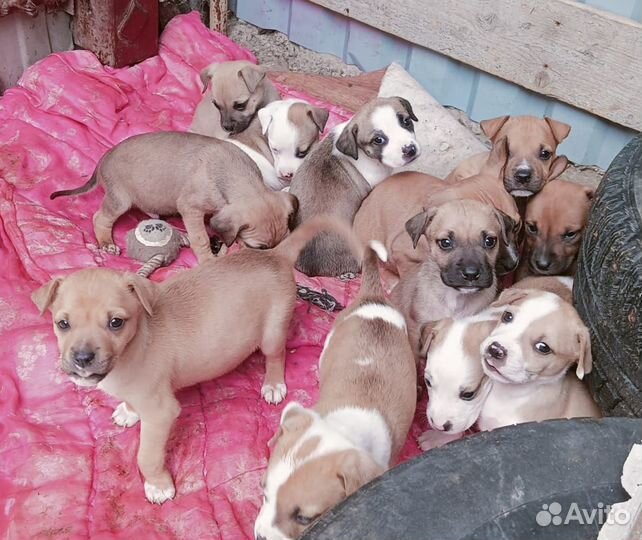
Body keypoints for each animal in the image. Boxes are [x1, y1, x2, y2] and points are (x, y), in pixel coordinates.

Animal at [31, 215, 360, 506]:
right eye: (62, 324)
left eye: (116, 323)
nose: (82, 358)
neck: (135, 343)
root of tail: (275, 254)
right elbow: (131, 404)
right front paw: (128, 411)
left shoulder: (161, 412)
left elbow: (146, 456)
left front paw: (158, 486)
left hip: (274, 329)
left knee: (276, 355)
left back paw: (273, 384)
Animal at [50, 133, 298, 264]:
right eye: (257, 247)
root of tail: (104, 158)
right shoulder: (191, 208)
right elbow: (200, 238)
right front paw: (208, 259)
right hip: (119, 199)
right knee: (100, 218)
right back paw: (106, 243)